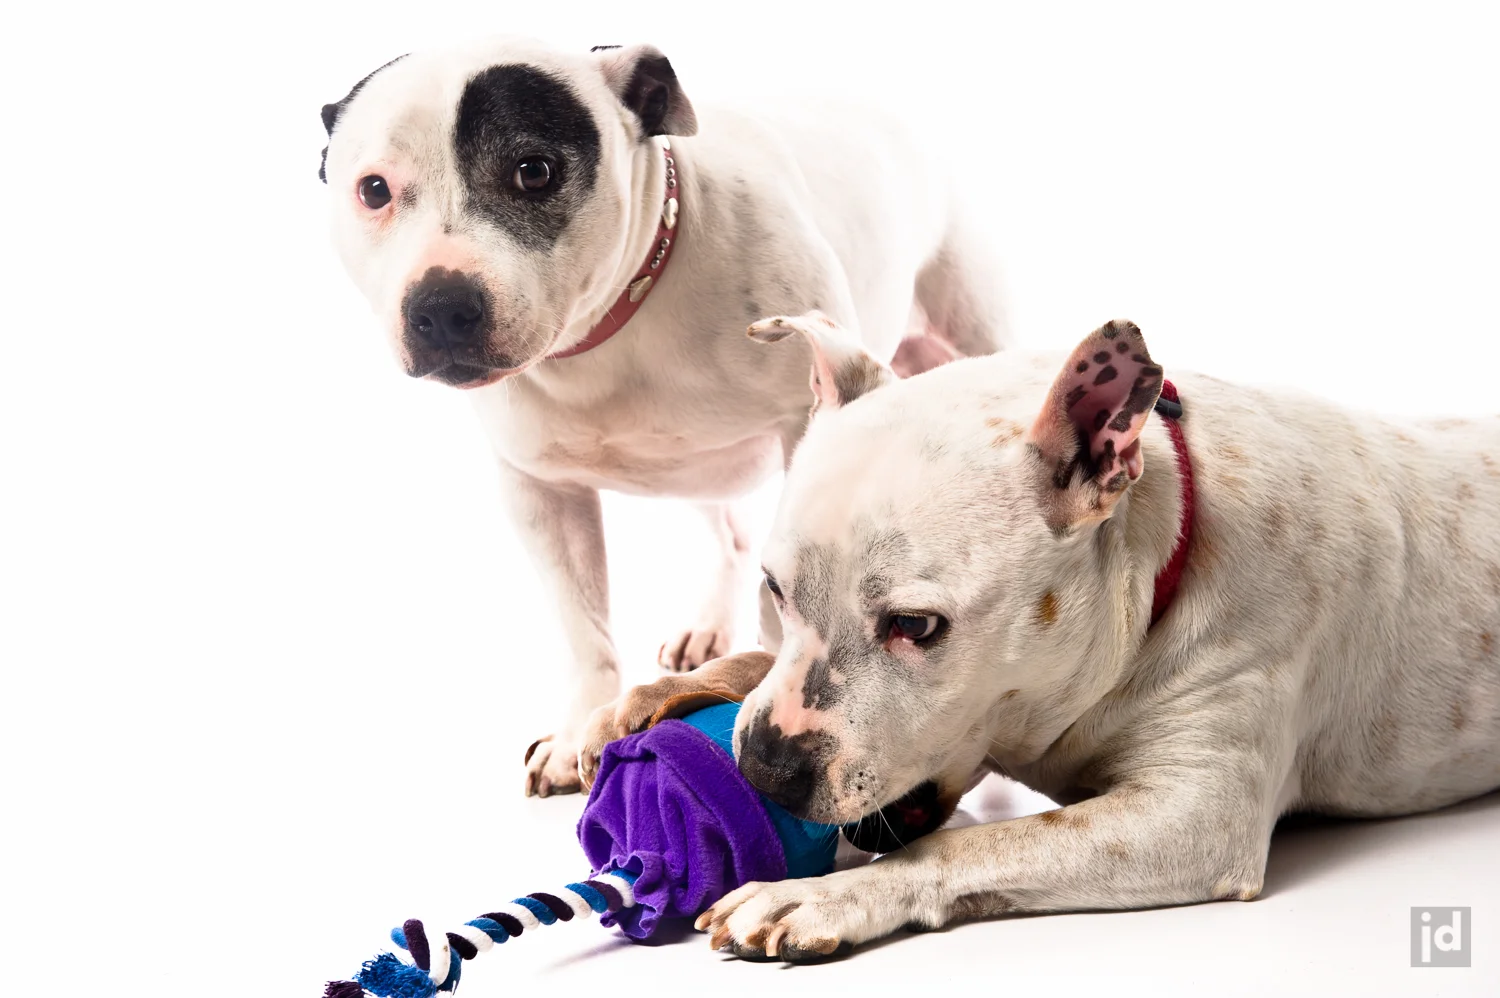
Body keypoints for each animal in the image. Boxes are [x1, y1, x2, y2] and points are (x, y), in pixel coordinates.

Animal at [318, 39, 1008, 795]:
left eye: (534, 171)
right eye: (373, 190)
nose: (441, 305)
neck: (611, 329)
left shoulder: (806, 429)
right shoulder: (539, 491)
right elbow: (583, 625)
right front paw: (577, 733)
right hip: (696, 471)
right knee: (732, 536)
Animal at [580, 312, 1500, 961]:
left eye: (916, 626)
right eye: (774, 589)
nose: (765, 769)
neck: (1160, 552)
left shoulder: (1197, 814)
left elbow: (975, 843)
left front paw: (825, 898)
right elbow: (753, 661)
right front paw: (637, 703)